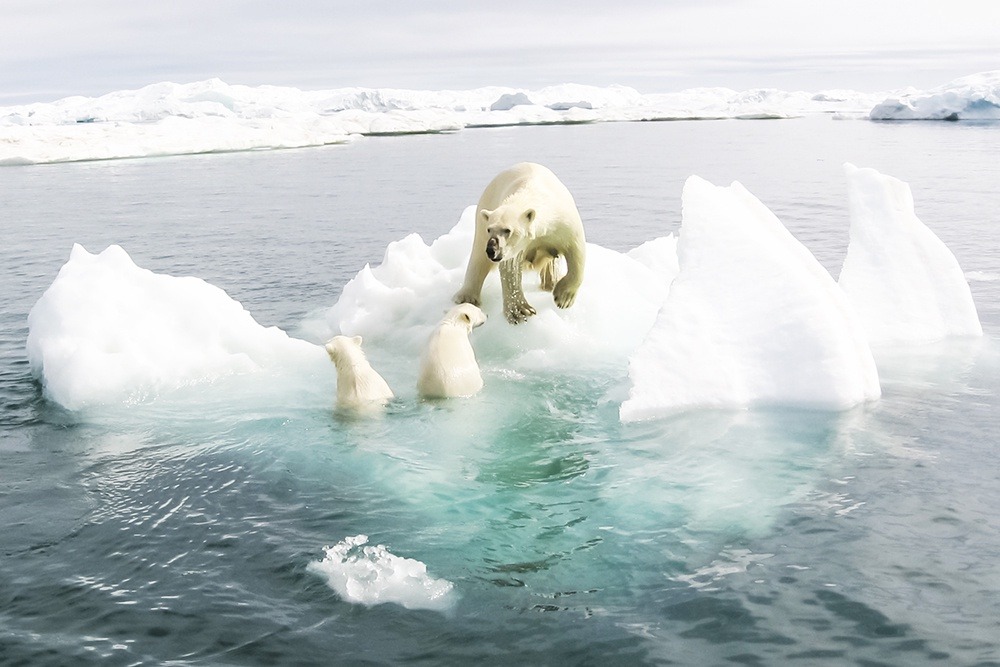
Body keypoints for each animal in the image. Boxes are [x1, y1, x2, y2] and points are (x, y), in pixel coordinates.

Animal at [454, 164, 584, 326]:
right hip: (483, 214)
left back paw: (551, 282)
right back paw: (467, 297)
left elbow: (576, 250)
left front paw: (563, 298)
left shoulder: (563, 222)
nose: (492, 250)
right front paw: (521, 311)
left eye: (507, 230)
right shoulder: (514, 248)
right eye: (490, 229)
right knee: (478, 257)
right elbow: (510, 270)